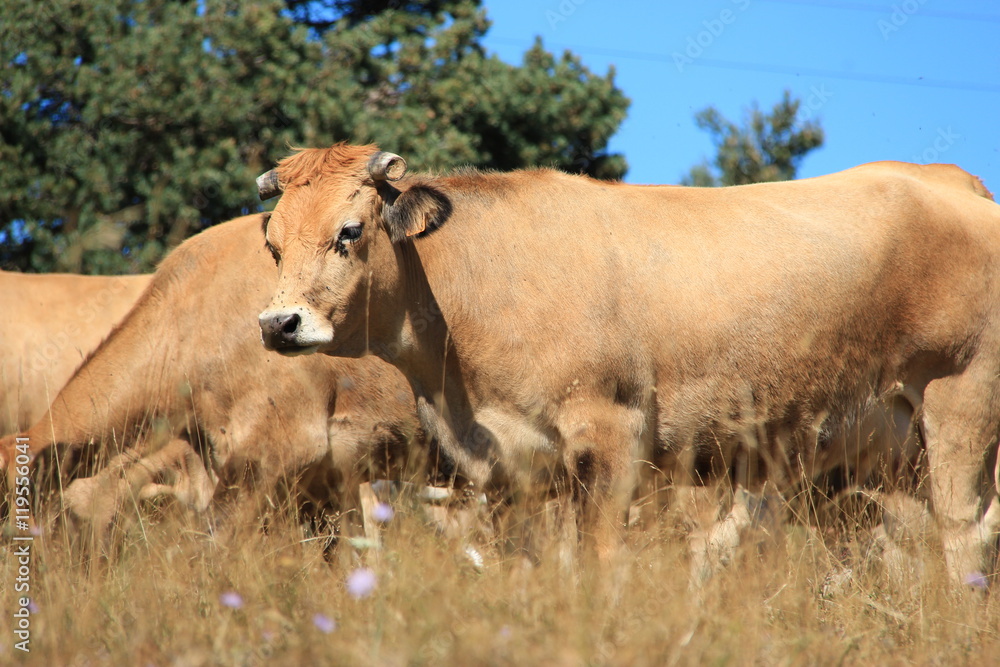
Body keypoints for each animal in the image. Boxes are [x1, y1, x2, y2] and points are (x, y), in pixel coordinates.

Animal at [256, 142, 1000, 584]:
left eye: (350, 231)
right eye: (272, 243)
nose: (278, 323)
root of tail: (950, 181)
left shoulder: (611, 431)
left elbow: (604, 558)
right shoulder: (514, 470)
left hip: (960, 401)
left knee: (963, 532)